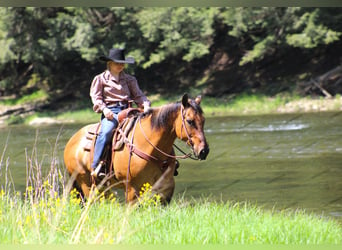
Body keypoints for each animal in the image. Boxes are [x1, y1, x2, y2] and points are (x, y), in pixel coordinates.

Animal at [63, 94, 210, 203]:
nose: (204, 150)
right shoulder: (132, 188)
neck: (151, 147)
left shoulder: (166, 187)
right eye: (190, 121)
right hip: (86, 184)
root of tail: (71, 141)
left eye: (204, 120)